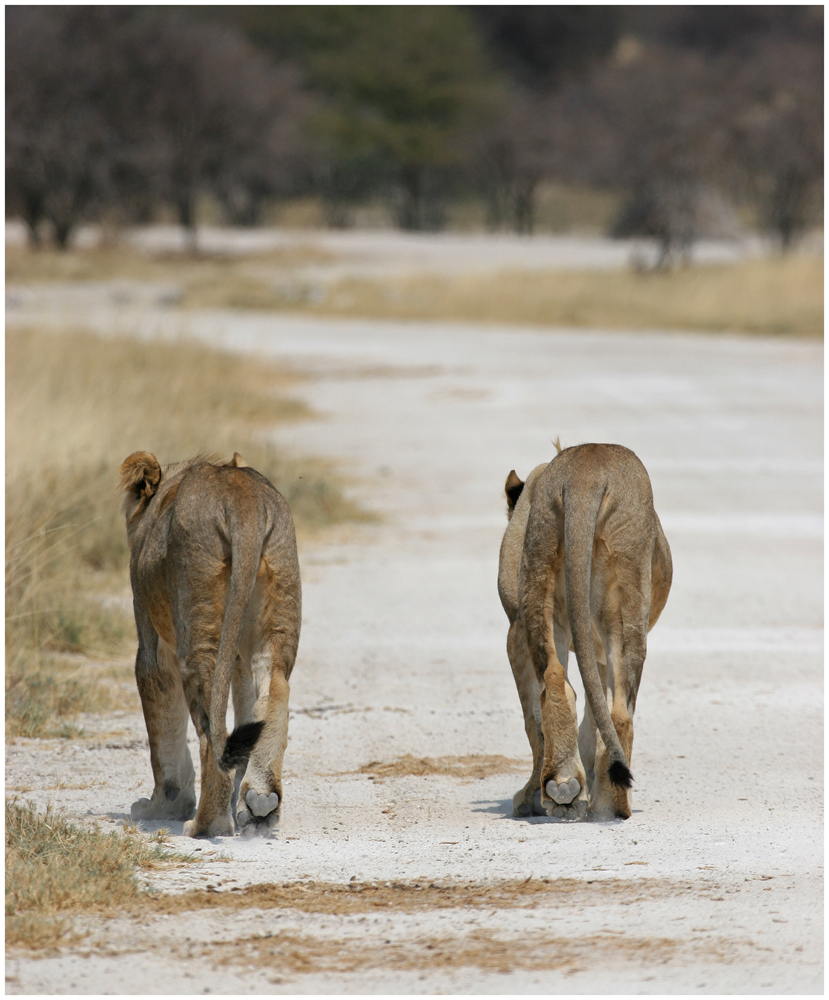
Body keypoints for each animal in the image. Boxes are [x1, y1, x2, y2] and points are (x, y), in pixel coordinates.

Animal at [119, 452, 300, 836]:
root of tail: (243, 502)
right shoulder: (238, 655)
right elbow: (245, 701)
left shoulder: (151, 645)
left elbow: (162, 729)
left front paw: (162, 805)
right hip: (276, 608)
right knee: (274, 689)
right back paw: (259, 803)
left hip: (195, 629)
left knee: (206, 732)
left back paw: (205, 823)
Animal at [494, 442, 668, 816]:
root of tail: (585, 471)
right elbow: (592, 712)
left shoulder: (516, 626)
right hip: (627, 602)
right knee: (619, 709)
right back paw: (609, 802)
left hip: (538, 584)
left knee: (555, 682)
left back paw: (563, 786)